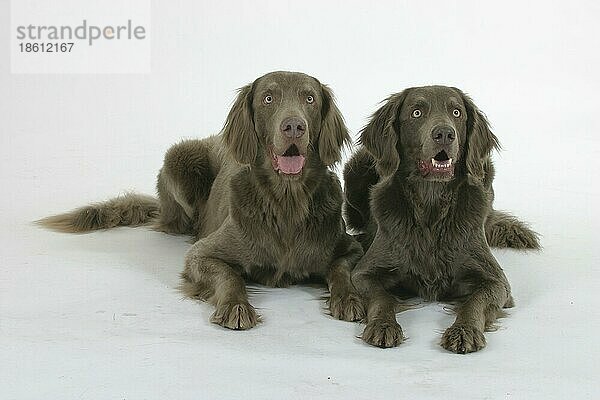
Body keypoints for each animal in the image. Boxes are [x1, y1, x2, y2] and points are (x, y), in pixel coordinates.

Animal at [39, 70, 366, 330]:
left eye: (309, 99)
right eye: (268, 99)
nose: (294, 126)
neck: (287, 202)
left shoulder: (350, 247)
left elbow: (340, 269)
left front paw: (349, 298)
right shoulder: (202, 254)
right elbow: (229, 276)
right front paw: (236, 306)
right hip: (180, 158)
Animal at [342, 85, 540, 354]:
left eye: (456, 112)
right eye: (416, 112)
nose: (445, 134)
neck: (431, 207)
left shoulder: (497, 281)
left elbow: (475, 303)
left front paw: (464, 330)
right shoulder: (364, 273)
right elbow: (381, 298)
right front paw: (383, 325)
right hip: (355, 171)